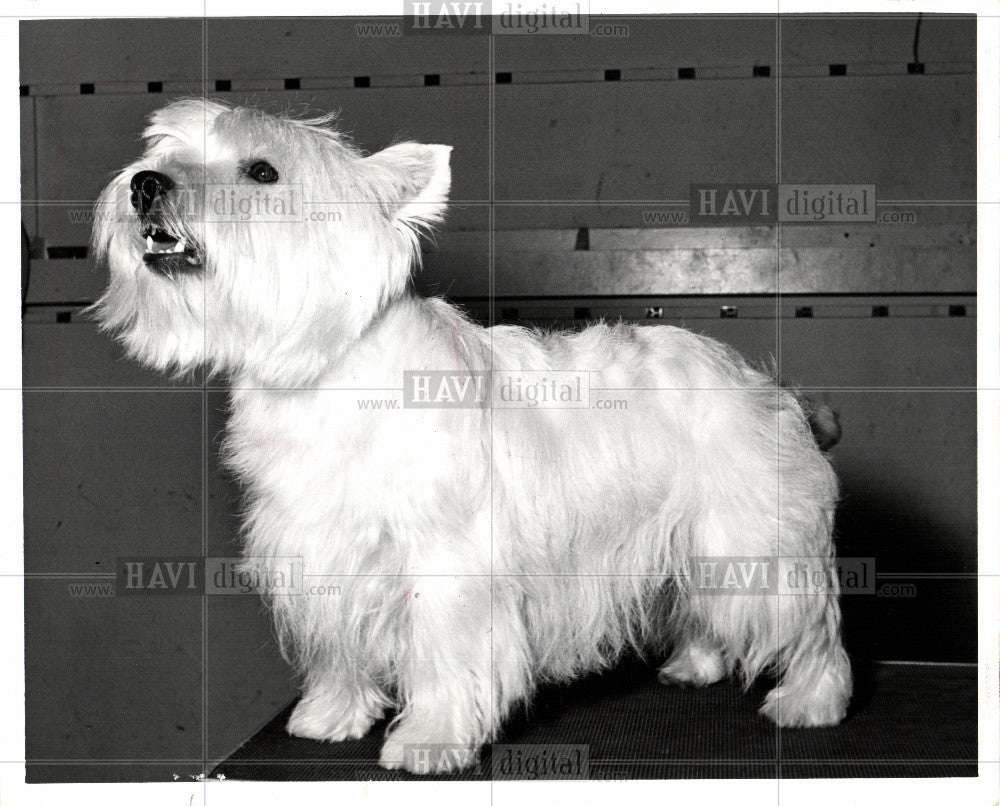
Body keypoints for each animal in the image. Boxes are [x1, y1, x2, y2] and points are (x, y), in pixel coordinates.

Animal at [92, 101, 852, 776]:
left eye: (262, 171)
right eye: (165, 151)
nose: (145, 183)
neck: (323, 365)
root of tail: (772, 388)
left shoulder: (446, 566)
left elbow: (442, 656)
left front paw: (428, 742)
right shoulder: (319, 550)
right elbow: (337, 643)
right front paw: (330, 716)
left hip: (750, 541)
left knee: (812, 626)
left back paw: (811, 703)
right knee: (704, 611)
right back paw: (694, 666)